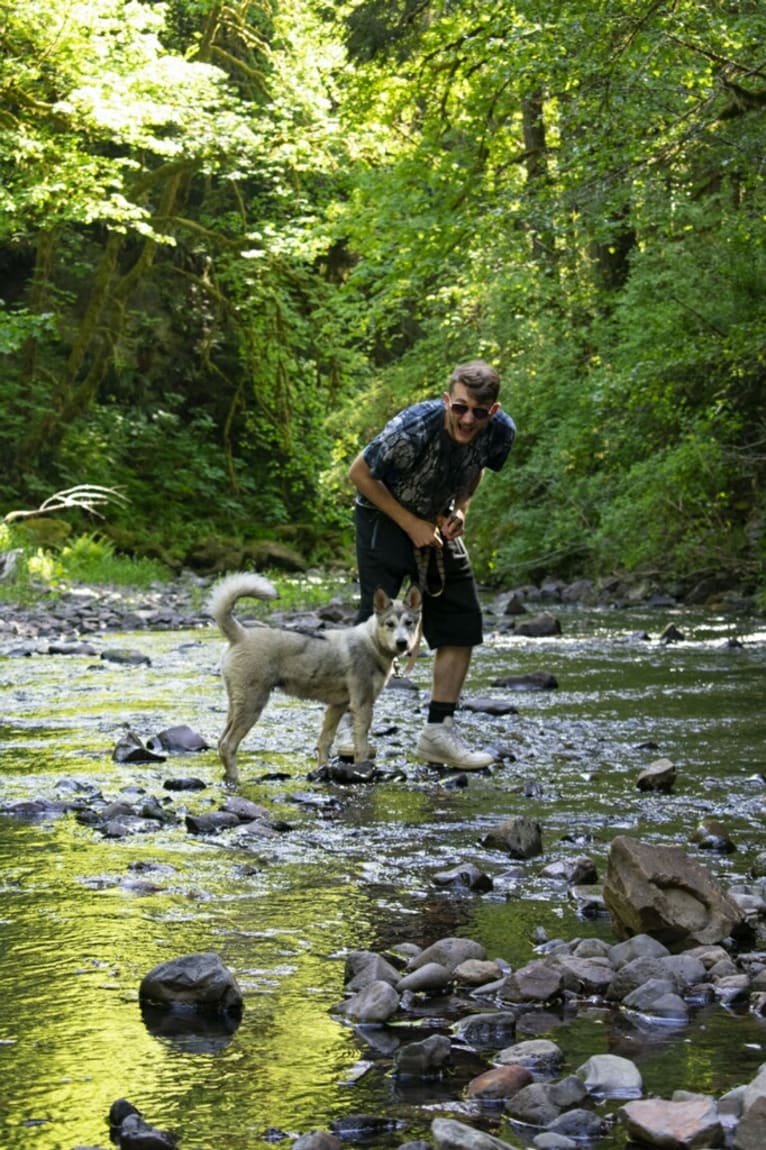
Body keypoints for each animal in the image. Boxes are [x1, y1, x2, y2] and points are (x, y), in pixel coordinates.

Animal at [204, 572, 418, 782]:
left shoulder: (337, 706)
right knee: (228, 744)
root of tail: (241, 634)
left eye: (409, 623)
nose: (402, 643)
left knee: (221, 742)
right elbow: (362, 747)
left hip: (237, 705)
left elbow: (325, 741)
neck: (372, 642)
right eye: (389, 624)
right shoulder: (362, 705)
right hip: (252, 705)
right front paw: (364, 770)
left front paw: (322, 770)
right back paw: (234, 778)